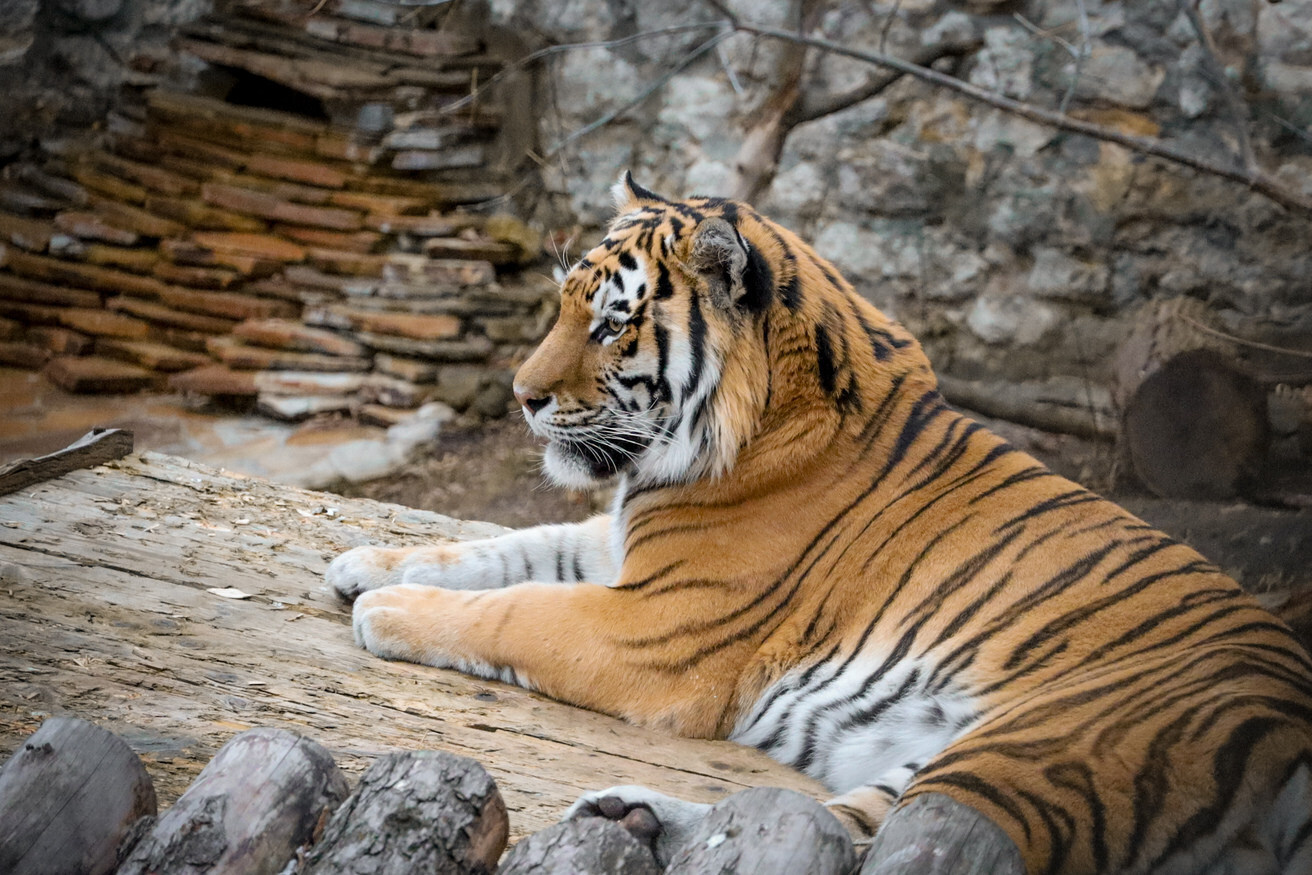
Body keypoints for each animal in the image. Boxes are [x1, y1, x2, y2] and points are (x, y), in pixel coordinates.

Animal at [327, 173, 1312, 874]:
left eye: (610, 326)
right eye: (565, 306)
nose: (521, 396)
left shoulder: (654, 628)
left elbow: (514, 606)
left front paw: (387, 609)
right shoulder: (621, 547)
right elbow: (504, 548)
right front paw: (363, 562)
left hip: (1027, 752)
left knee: (886, 854)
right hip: (946, 762)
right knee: (834, 829)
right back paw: (634, 818)